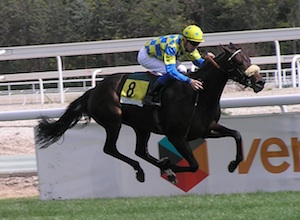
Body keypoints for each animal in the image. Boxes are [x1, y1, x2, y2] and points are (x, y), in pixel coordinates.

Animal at [37, 43, 264, 184]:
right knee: (110, 149)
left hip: (141, 126)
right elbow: (193, 165)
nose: (260, 82)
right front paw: (169, 165)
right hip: (113, 122)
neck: (198, 95)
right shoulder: (176, 136)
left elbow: (237, 135)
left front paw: (234, 164)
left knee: (140, 151)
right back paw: (146, 169)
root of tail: (93, 90)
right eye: (238, 62)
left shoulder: (206, 129)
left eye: (248, 57)